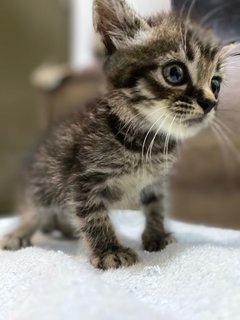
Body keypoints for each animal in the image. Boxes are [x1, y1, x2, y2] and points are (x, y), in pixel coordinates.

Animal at [0, 0, 232, 270]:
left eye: (215, 84)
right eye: (175, 73)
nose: (210, 103)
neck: (145, 143)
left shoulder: (156, 181)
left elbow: (156, 207)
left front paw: (156, 236)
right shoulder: (82, 178)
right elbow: (93, 215)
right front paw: (109, 250)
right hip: (41, 183)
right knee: (34, 212)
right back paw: (19, 233)